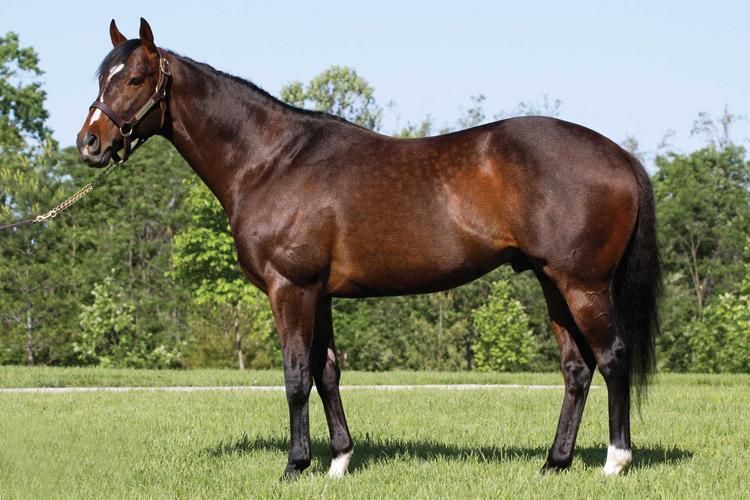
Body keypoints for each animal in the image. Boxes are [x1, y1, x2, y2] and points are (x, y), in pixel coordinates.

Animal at [76, 18, 661, 479]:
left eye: (135, 78)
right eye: (100, 76)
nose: (90, 143)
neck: (272, 160)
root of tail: (620, 155)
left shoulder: (290, 289)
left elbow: (295, 376)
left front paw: (295, 466)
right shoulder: (319, 294)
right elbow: (327, 372)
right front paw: (338, 460)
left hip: (582, 284)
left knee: (612, 357)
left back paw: (615, 461)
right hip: (551, 282)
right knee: (576, 369)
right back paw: (554, 463)